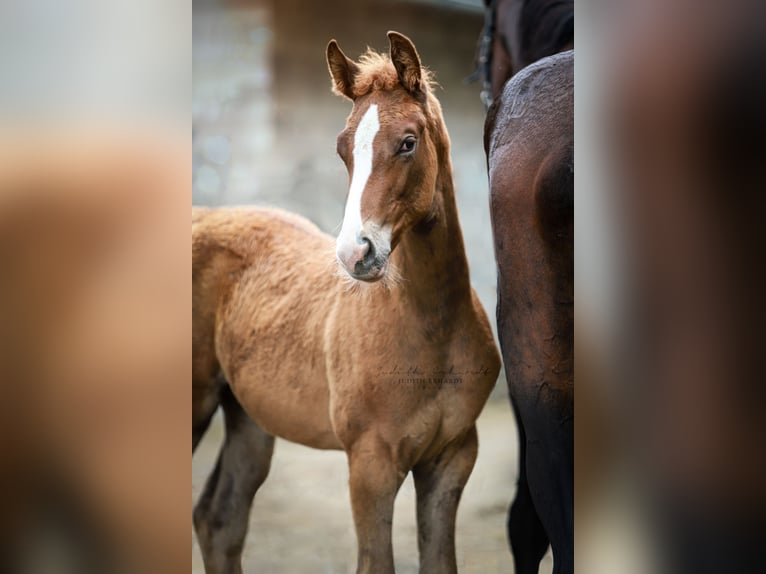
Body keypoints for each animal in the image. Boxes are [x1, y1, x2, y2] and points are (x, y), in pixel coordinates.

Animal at [194, 32, 498, 574]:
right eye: (342, 149)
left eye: (408, 142)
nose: (356, 253)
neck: (430, 326)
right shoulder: (370, 464)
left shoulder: (454, 456)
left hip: (249, 416)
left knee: (219, 520)